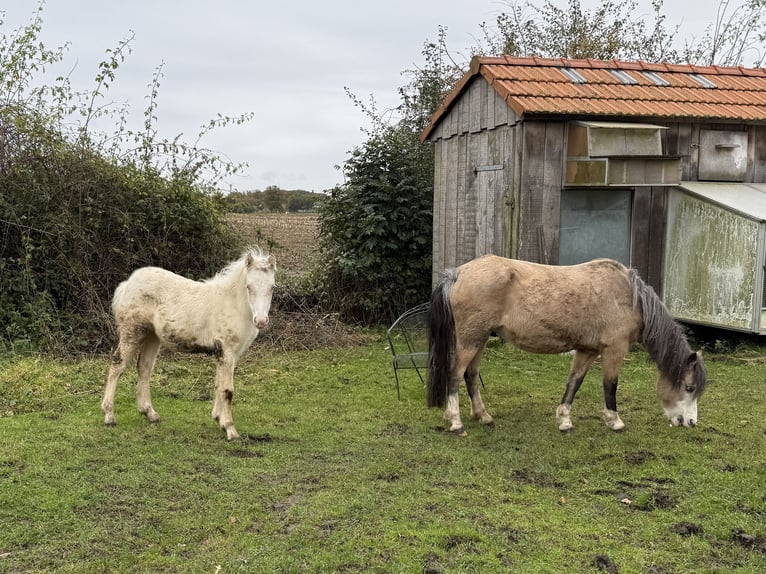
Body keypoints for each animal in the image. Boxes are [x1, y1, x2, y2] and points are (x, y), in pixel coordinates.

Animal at [100, 248, 276, 440]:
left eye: (272, 287)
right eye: (248, 287)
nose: (261, 321)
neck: (233, 305)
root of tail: (127, 284)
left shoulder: (229, 354)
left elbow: (218, 384)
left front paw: (219, 419)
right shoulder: (227, 351)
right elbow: (227, 390)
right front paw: (230, 429)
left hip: (152, 336)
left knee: (144, 368)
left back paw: (150, 413)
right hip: (132, 332)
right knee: (117, 366)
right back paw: (109, 415)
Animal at [426, 256, 708, 436]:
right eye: (689, 387)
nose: (692, 422)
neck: (629, 298)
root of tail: (457, 273)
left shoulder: (587, 351)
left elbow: (574, 383)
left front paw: (564, 420)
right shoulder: (614, 350)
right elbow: (610, 385)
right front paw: (614, 421)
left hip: (480, 339)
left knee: (471, 376)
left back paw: (483, 416)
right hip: (470, 340)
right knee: (455, 375)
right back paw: (455, 422)